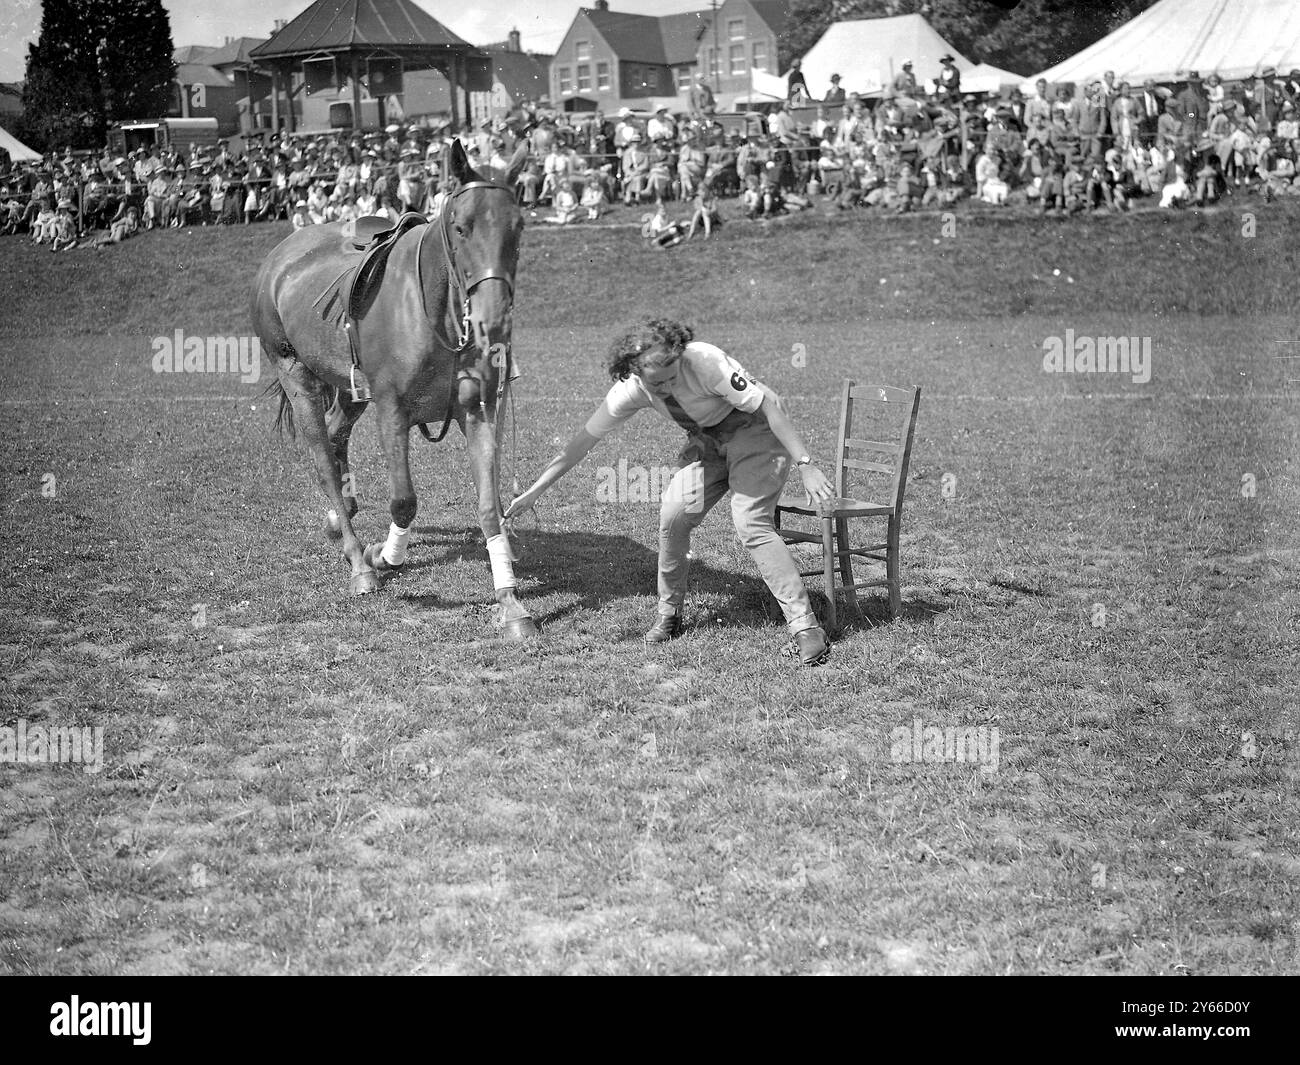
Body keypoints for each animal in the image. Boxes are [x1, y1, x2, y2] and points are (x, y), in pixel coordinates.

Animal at [248, 140, 538, 642]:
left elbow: (489, 507)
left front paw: (510, 603)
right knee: (323, 456)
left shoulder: (478, 410)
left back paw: (339, 519)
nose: (494, 318)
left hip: (348, 388)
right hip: (296, 373)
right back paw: (358, 561)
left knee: (336, 436)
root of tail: (280, 257)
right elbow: (404, 502)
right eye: (461, 227)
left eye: (517, 227)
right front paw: (383, 555)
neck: (436, 311)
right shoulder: (392, 412)